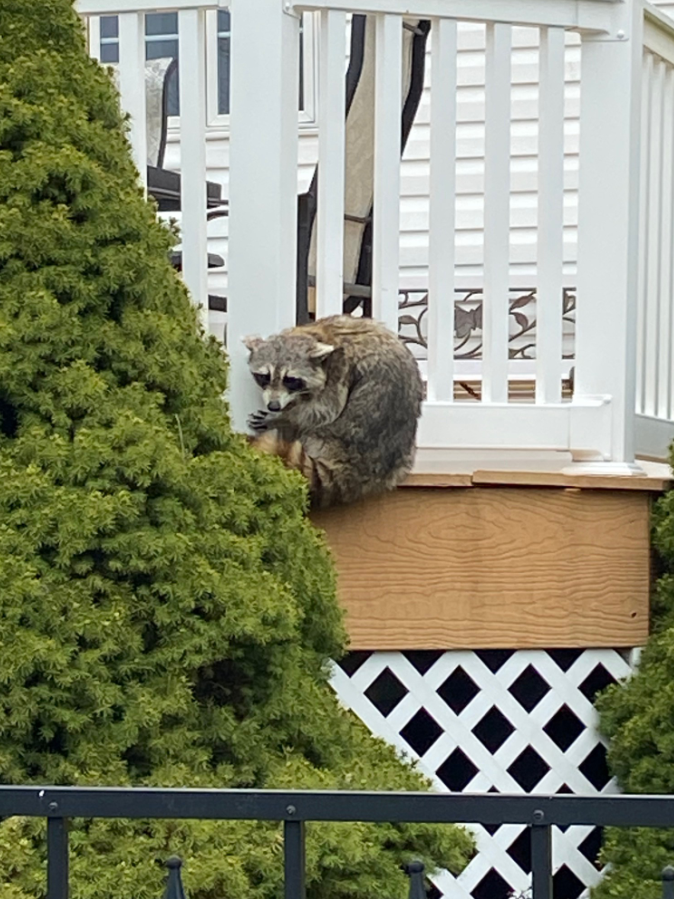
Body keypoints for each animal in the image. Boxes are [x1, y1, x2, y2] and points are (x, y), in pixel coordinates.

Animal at [243, 312, 420, 510]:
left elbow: (325, 410)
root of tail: (359, 468)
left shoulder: (341, 367)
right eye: (265, 377)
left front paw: (284, 417)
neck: (315, 333)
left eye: (290, 380)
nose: (273, 406)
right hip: (405, 456)